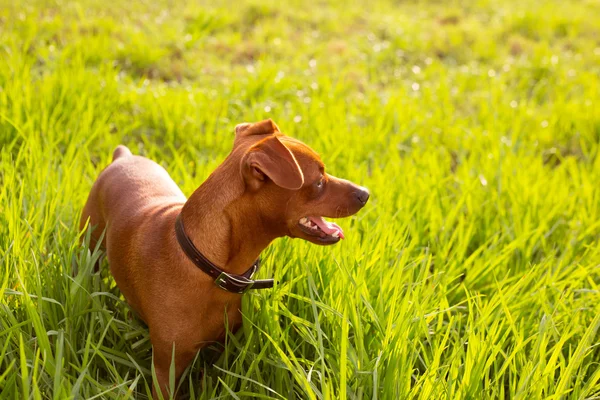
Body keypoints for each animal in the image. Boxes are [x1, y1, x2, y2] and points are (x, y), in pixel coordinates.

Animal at [79, 119, 368, 396]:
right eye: (318, 181)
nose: (365, 193)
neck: (211, 269)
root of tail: (123, 156)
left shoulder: (223, 349)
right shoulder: (166, 370)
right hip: (90, 248)